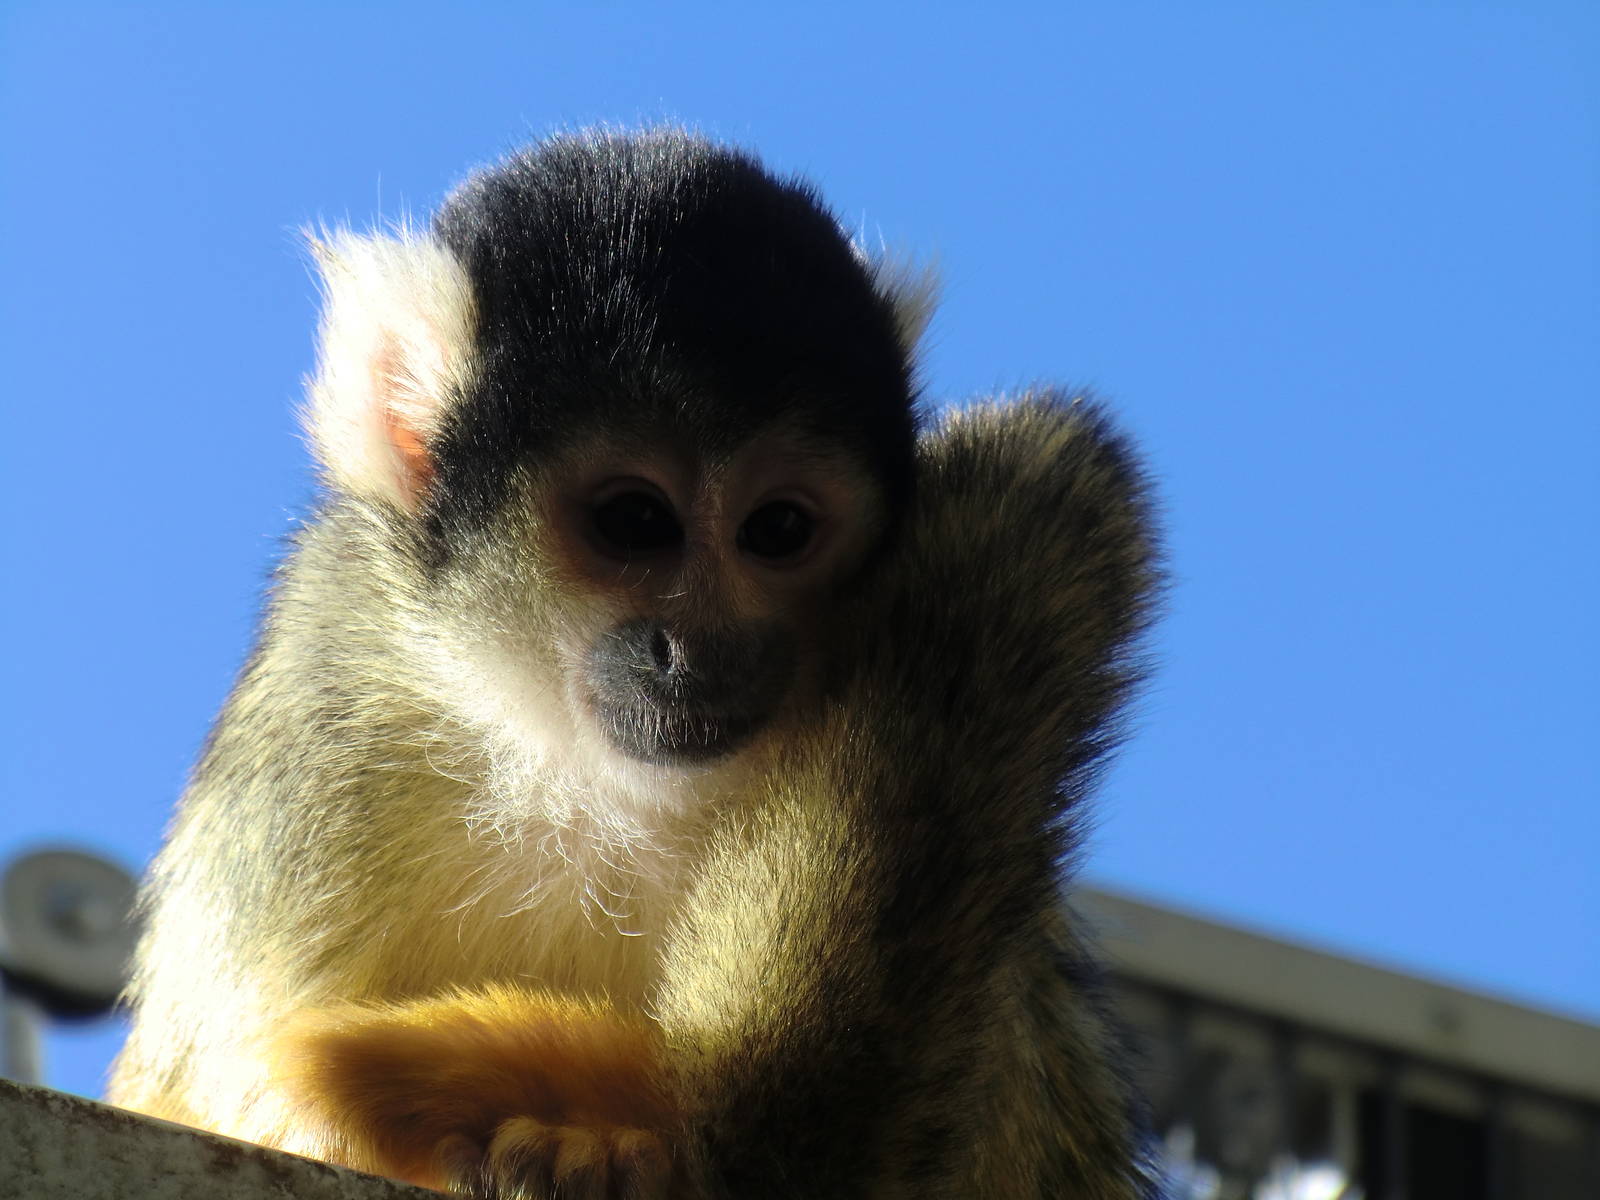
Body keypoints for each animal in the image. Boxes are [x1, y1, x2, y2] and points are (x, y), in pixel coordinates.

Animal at [107, 129, 1163, 1199]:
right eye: (635, 521)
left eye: (778, 530)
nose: (698, 646)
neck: (590, 781)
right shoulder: (318, 711)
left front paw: (597, 1146)